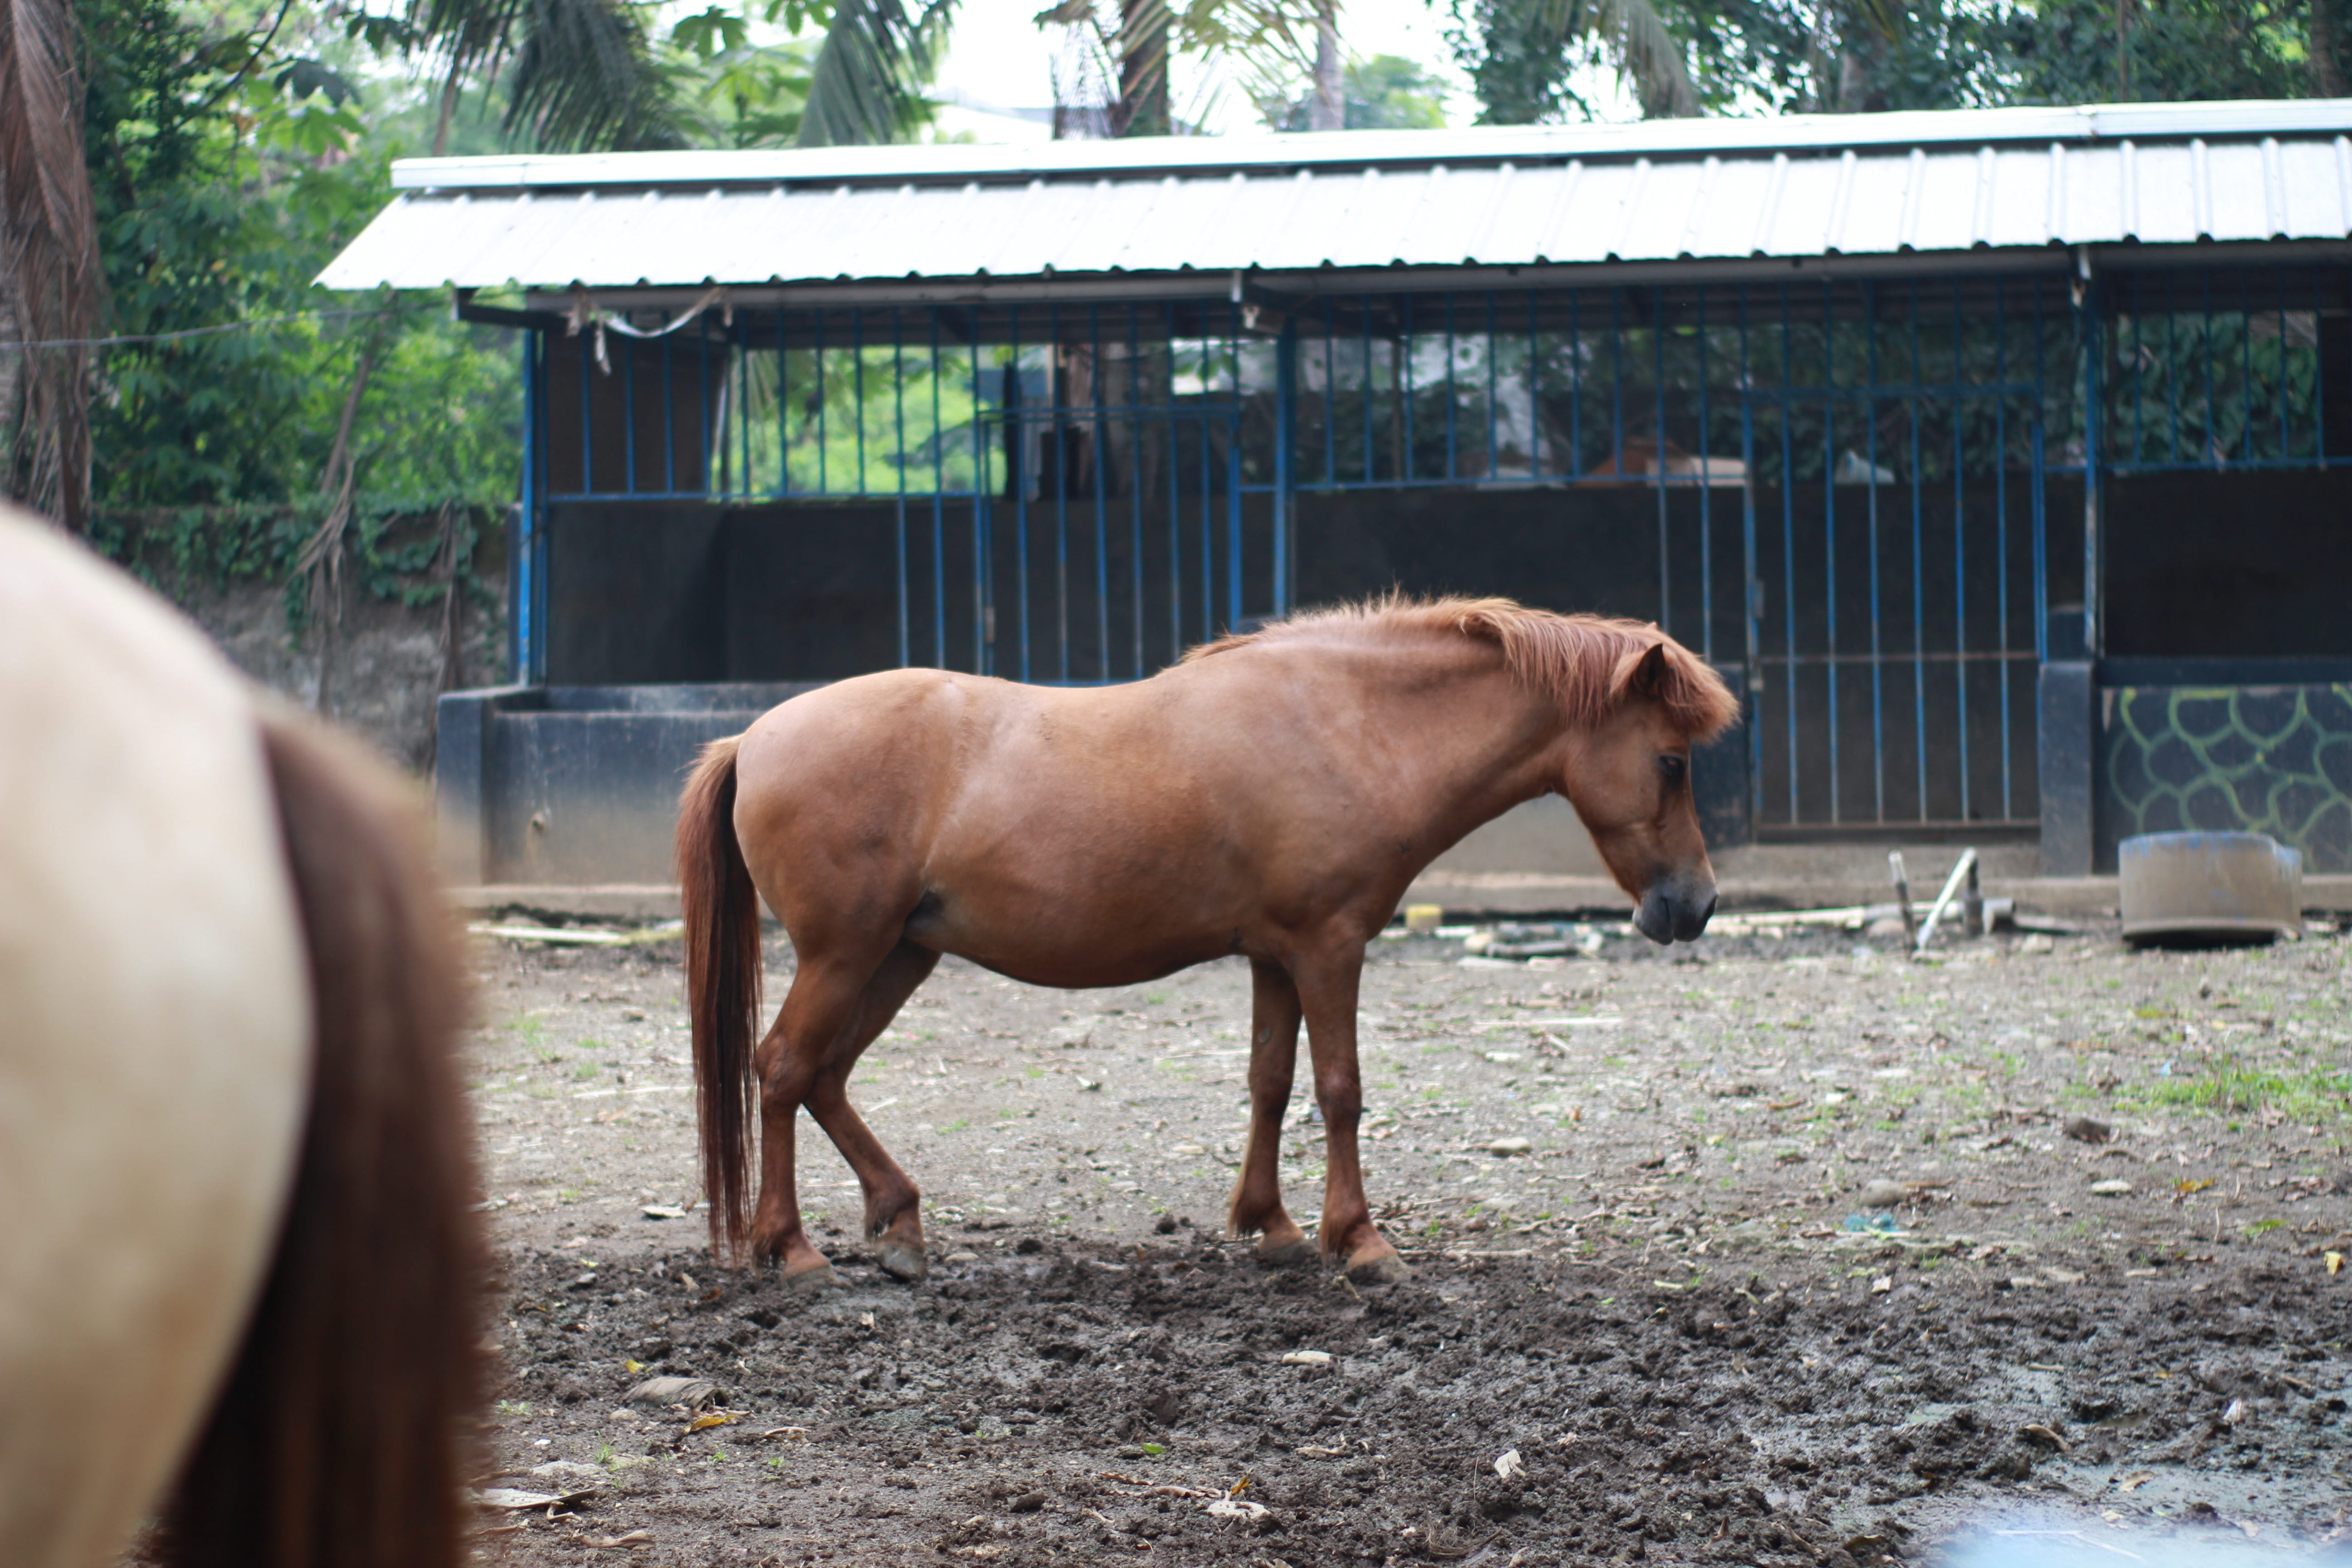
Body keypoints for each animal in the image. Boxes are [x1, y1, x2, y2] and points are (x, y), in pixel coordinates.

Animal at [677, 595, 1737, 1289]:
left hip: (898, 955)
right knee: (783, 1068)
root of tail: (753, 738)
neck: (1348, 725)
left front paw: (1271, 1225)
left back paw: (897, 1224)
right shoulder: (1329, 947)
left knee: (823, 1076)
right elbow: (1339, 1090)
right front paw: (1361, 1242)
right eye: (1670, 762)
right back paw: (793, 1250)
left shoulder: (1275, 954)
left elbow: (1269, 1081)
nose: (1694, 905)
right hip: (845, 955)